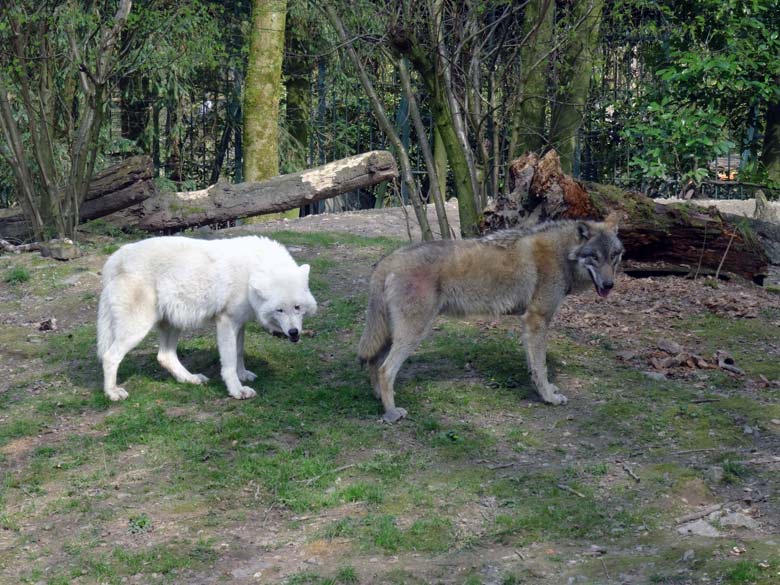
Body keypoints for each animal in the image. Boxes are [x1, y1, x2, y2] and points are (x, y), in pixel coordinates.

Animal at [97, 235, 316, 400]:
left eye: (297, 307)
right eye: (279, 310)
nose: (294, 333)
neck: (252, 273)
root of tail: (115, 258)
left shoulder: (239, 324)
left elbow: (239, 353)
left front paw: (243, 375)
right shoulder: (226, 322)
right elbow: (229, 361)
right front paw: (237, 390)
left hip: (174, 323)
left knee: (164, 357)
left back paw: (191, 379)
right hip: (137, 329)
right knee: (110, 356)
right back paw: (112, 393)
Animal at [358, 214, 620, 420]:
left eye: (614, 256)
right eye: (595, 257)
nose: (609, 285)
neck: (561, 254)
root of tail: (389, 259)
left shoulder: (528, 324)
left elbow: (534, 366)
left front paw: (543, 390)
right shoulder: (537, 320)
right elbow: (541, 366)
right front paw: (548, 397)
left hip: (392, 334)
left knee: (374, 362)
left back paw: (377, 397)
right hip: (412, 334)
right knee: (385, 370)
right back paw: (392, 413)